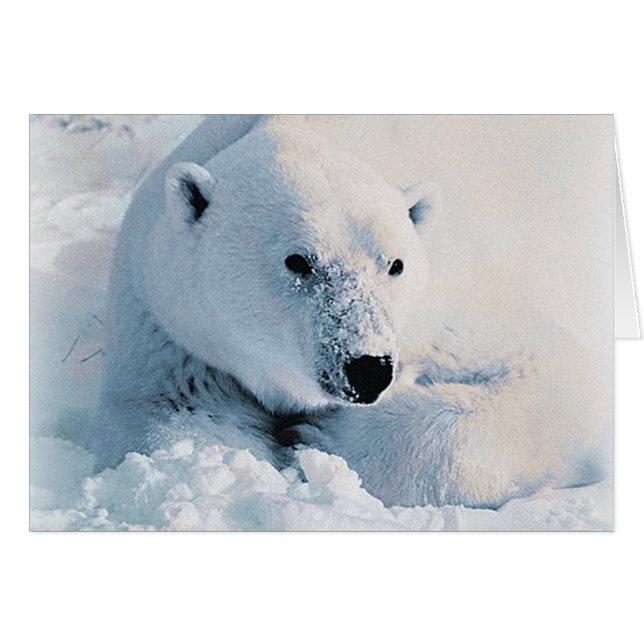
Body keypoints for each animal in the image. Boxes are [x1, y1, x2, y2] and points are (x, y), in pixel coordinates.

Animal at [90, 115, 610, 509]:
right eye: (299, 261)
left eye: (395, 264)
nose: (368, 368)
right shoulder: (173, 330)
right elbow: (178, 416)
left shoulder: (447, 308)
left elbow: (557, 381)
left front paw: (316, 438)